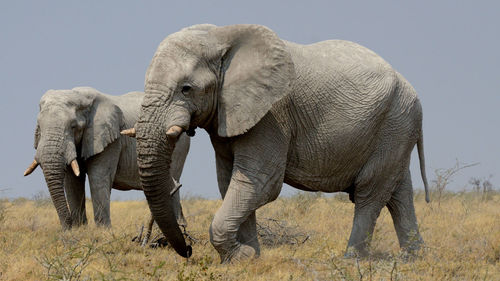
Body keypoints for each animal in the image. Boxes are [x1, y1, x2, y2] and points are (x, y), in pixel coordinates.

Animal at [23, 87, 189, 230]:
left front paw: (103, 231)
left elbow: (98, 176)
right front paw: (79, 230)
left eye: (73, 126)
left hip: (177, 145)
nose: (67, 227)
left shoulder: (111, 138)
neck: (79, 96)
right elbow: (72, 181)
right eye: (39, 126)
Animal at [132, 23, 430, 260]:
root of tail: (412, 91)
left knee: (370, 192)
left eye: (186, 89)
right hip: (397, 126)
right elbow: (229, 180)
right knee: (398, 192)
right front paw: (249, 258)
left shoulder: (272, 114)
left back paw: (351, 259)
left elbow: (260, 182)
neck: (223, 36)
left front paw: (241, 256)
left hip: (396, 122)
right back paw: (414, 258)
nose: (189, 250)